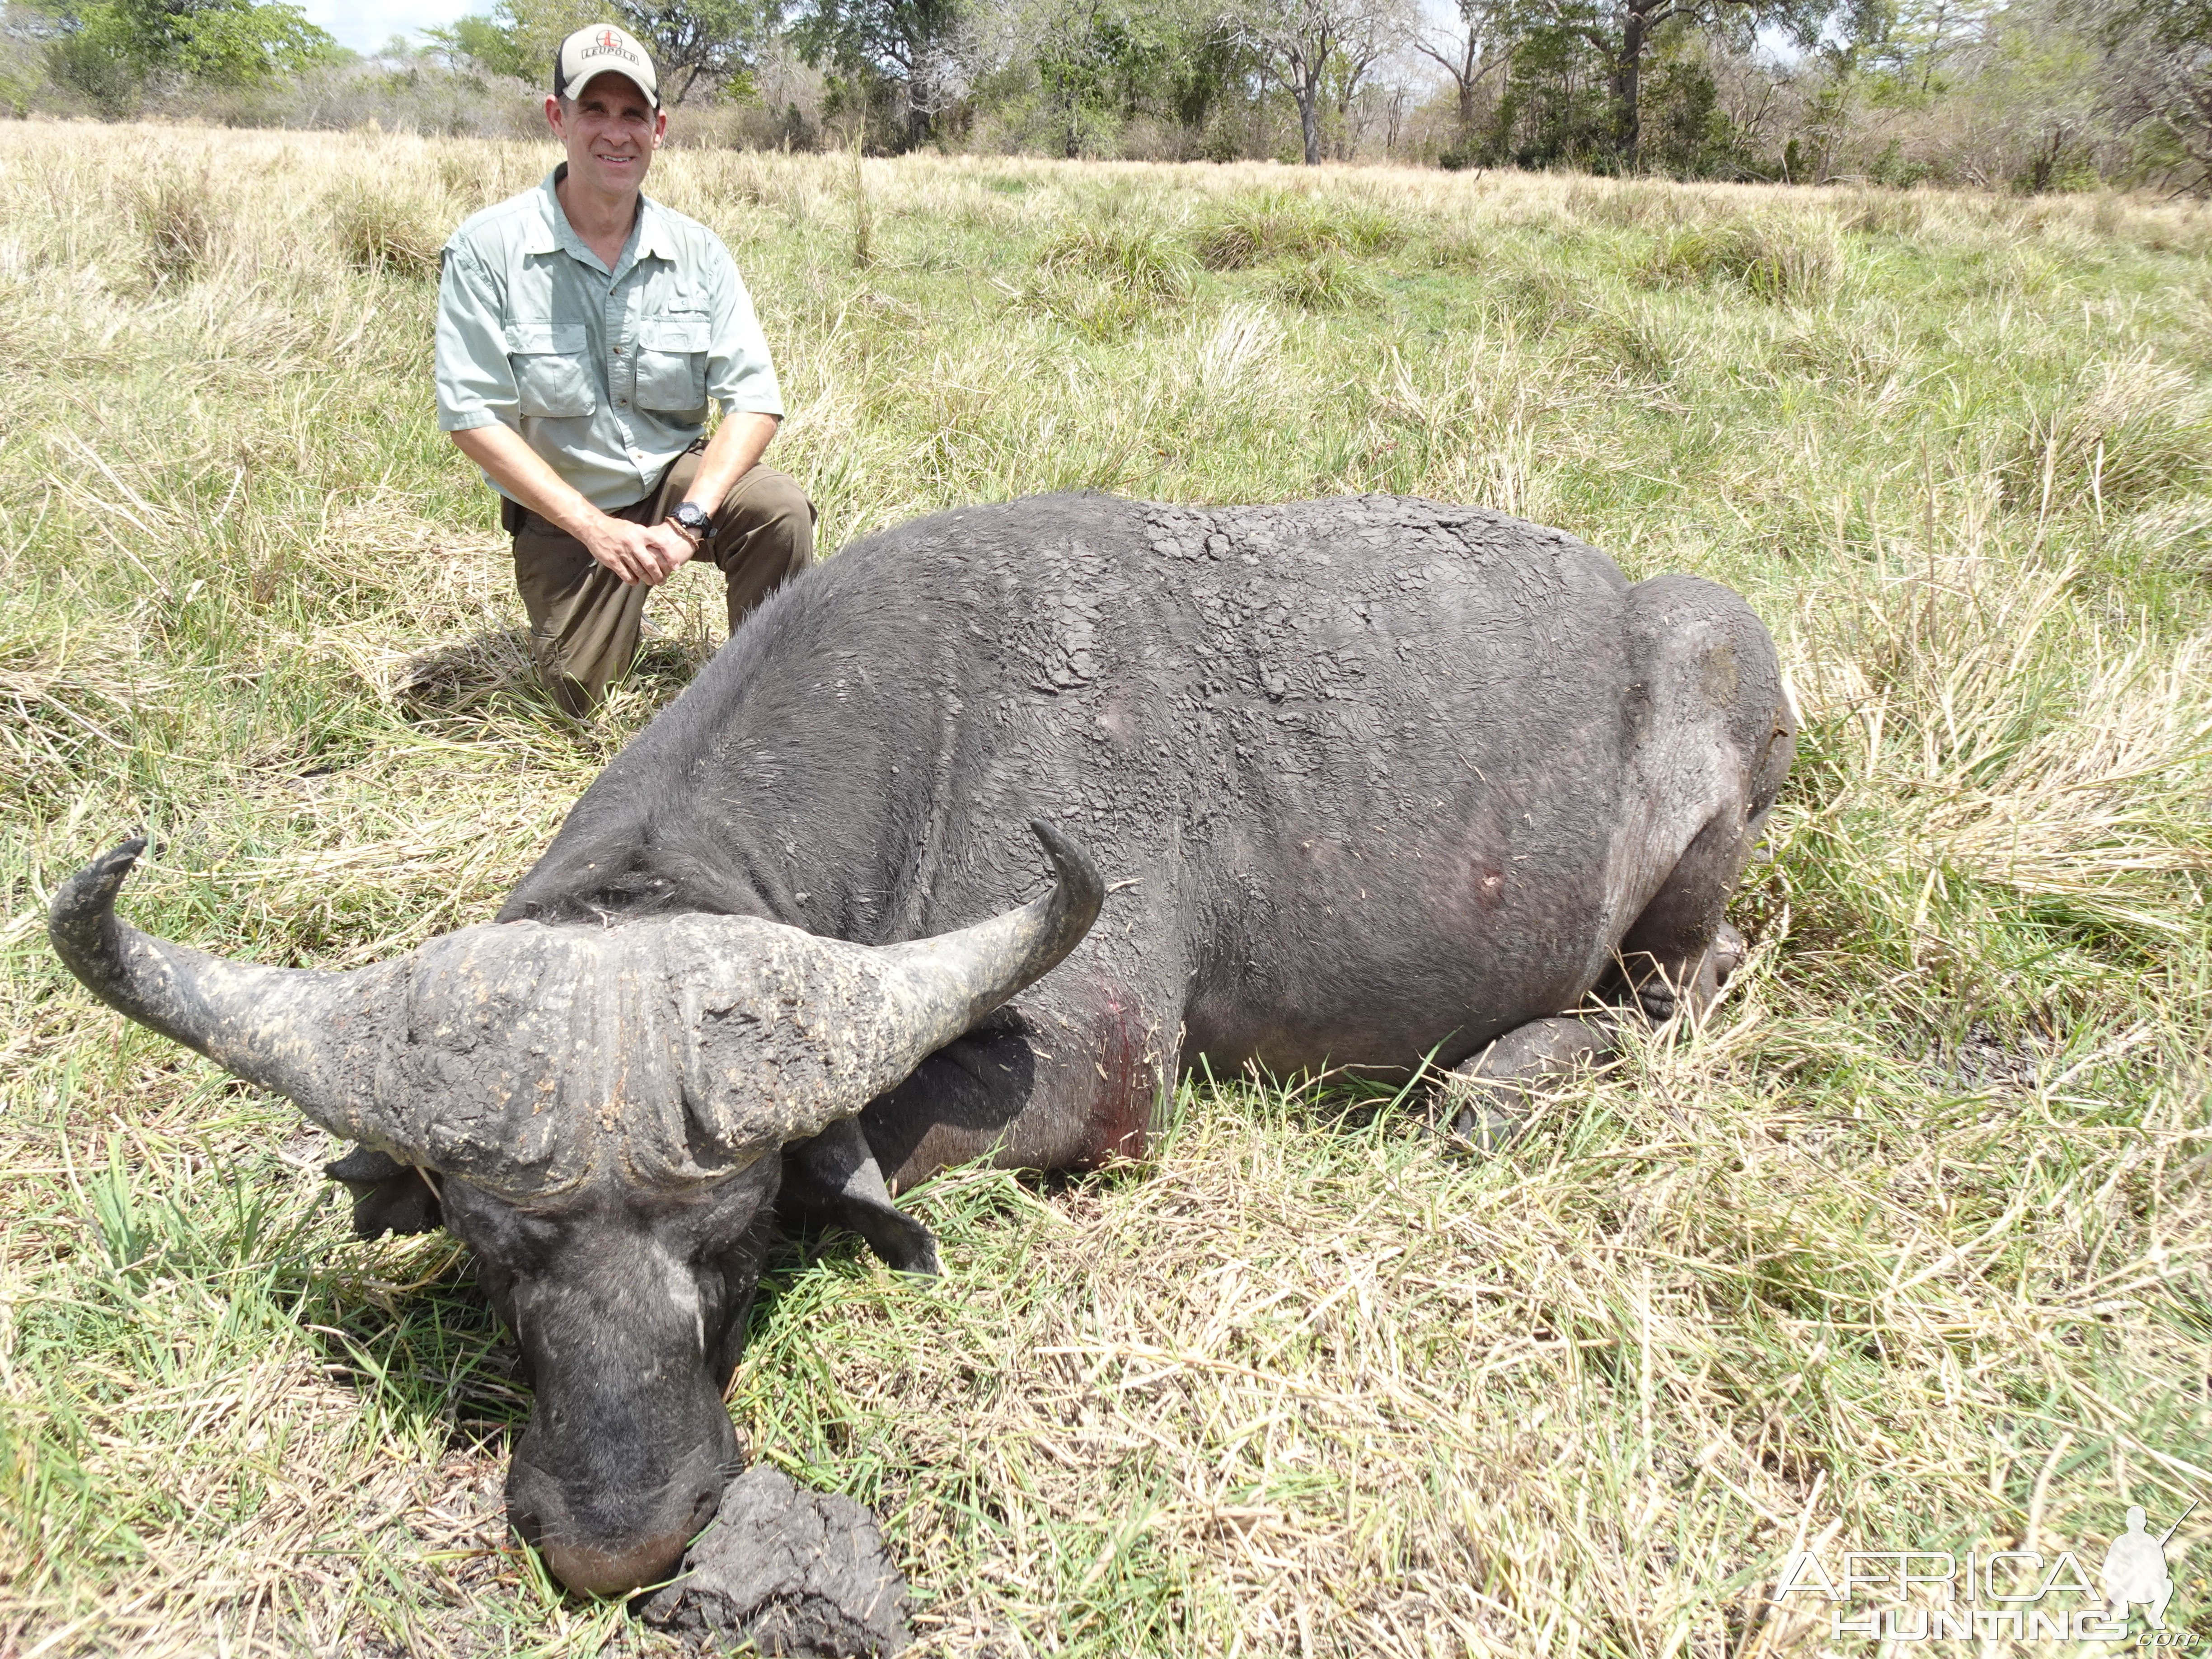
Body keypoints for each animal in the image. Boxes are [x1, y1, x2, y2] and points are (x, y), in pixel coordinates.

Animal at [47, 491, 1796, 1601]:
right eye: (489, 1252)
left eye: (737, 1237)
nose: (619, 1537)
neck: (935, 724)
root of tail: (1672, 616)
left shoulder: (1094, 1069)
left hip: (1693, 867)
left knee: (1676, 993)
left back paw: (1494, 1088)